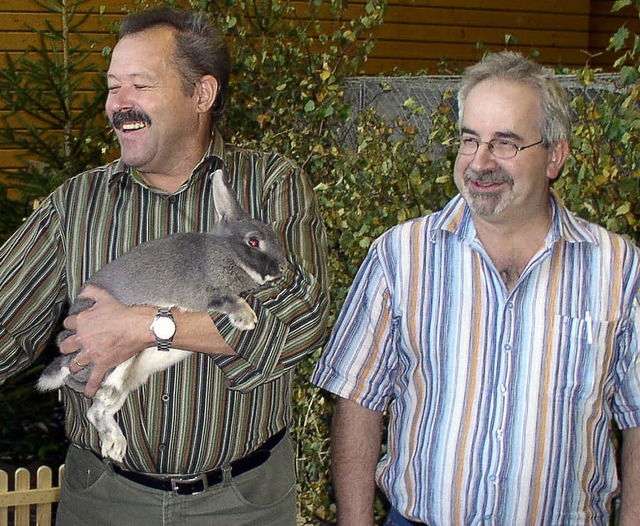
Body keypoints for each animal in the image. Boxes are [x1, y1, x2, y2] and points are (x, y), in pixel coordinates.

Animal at [35, 171, 284, 464]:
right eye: (253, 241)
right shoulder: (204, 293)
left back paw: (115, 445)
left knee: (97, 410)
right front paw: (247, 319)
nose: (280, 270)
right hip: (107, 361)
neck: (228, 252)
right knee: (84, 393)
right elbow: (228, 300)